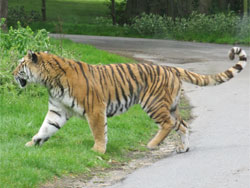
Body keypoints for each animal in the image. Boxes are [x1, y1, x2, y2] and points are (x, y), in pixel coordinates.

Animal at [13, 46, 246, 153]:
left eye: (20, 64)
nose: (12, 73)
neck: (50, 82)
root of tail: (171, 68)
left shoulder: (95, 108)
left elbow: (99, 131)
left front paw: (98, 151)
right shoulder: (58, 110)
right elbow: (46, 128)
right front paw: (32, 143)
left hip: (153, 103)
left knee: (168, 124)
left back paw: (152, 144)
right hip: (172, 106)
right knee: (183, 125)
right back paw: (183, 148)